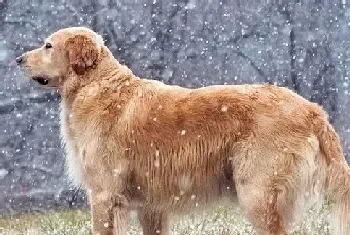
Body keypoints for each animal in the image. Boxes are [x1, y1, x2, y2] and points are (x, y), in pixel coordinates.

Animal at [17, 26, 350, 234]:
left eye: (48, 46)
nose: (18, 59)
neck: (95, 85)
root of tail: (313, 110)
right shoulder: (151, 207)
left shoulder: (104, 196)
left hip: (257, 194)